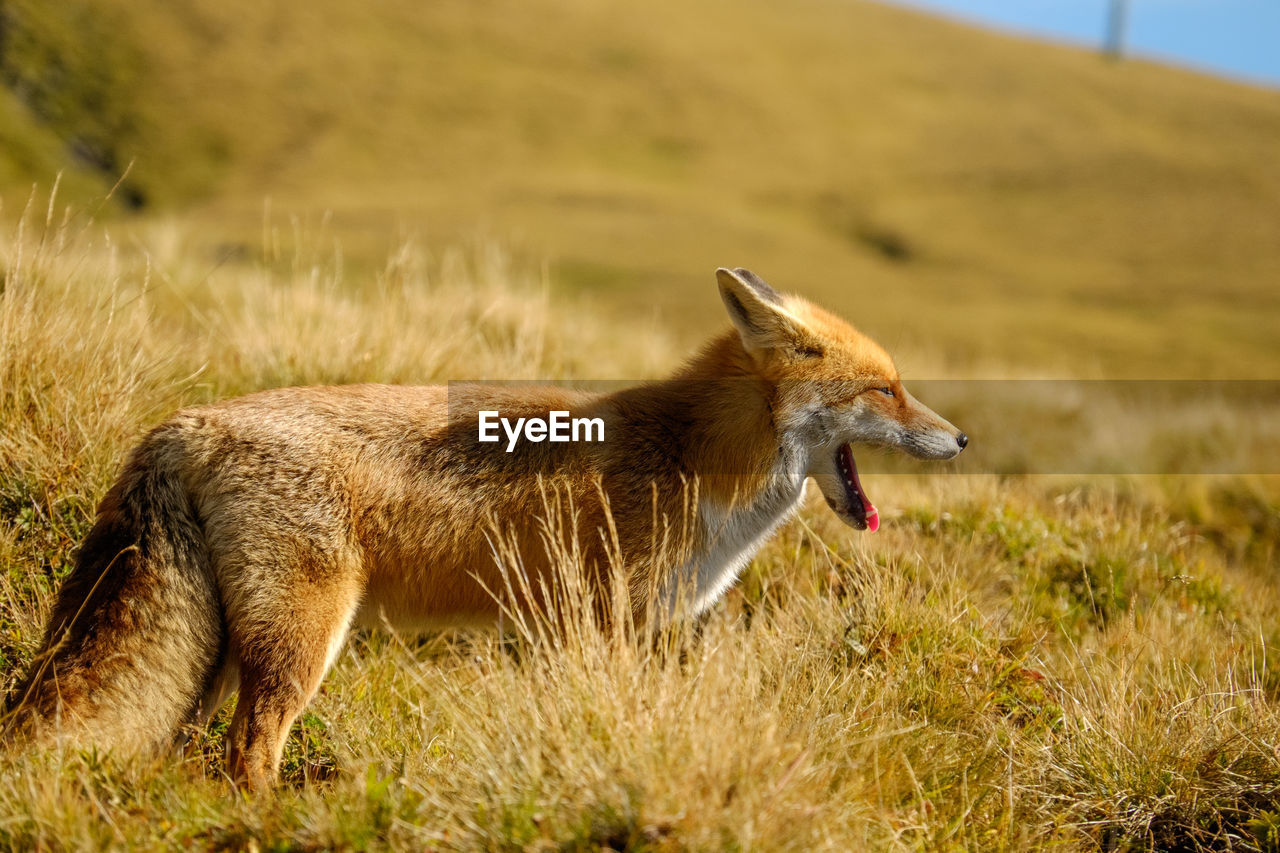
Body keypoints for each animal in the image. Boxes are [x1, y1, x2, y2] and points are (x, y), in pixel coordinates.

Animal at [0, 268, 962, 788]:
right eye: (887, 390)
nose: (961, 439)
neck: (697, 461)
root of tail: (188, 421)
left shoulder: (576, 631)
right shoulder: (601, 623)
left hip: (220, 656)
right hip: (298, 645)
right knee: (247, 754)